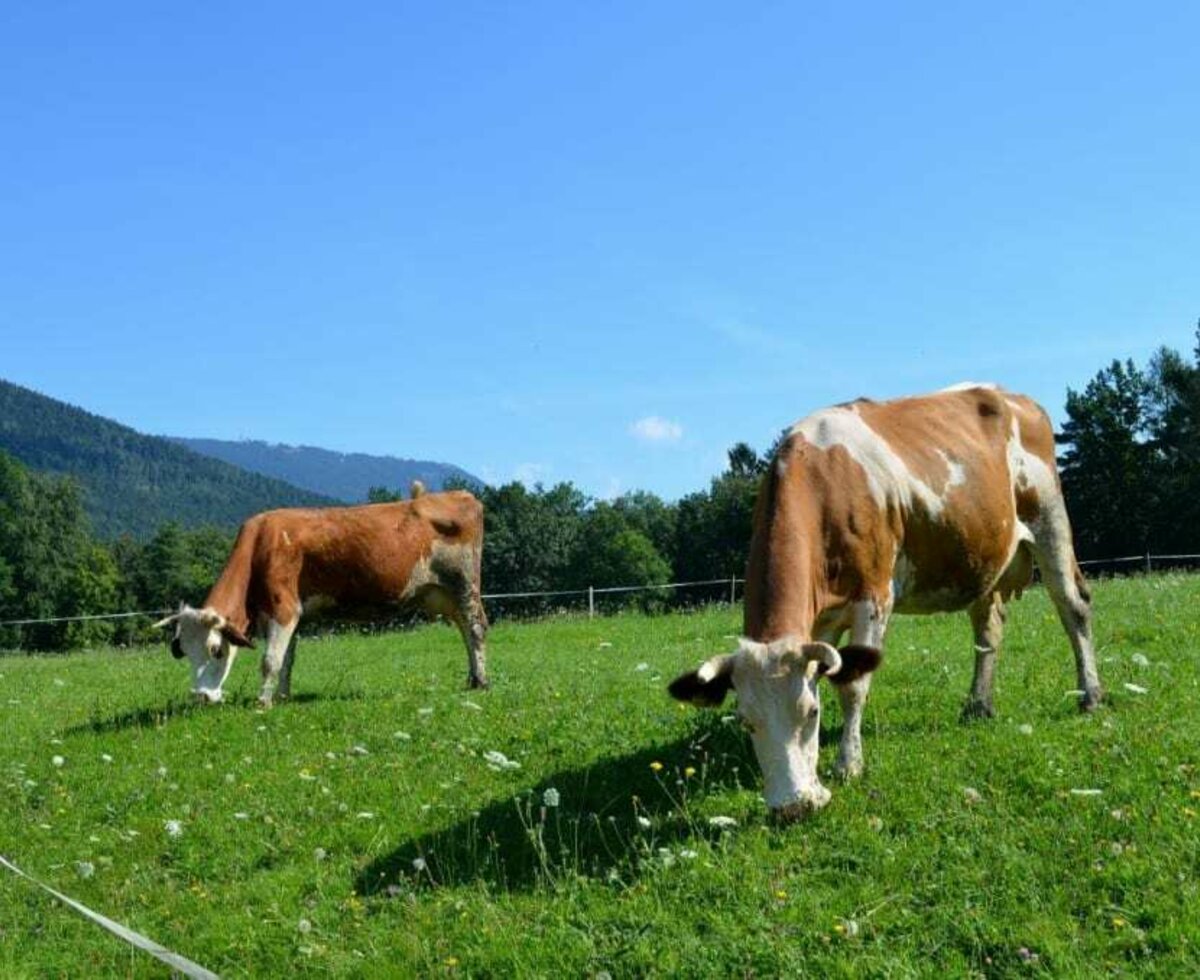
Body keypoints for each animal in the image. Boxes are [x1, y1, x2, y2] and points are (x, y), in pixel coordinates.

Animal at [154, 487, 487, 705]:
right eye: (182, 649)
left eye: (216, 650)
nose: (201, 697)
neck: (261, 544)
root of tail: (459, 494)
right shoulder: (284, 614)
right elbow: (287, 659)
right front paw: (282, 696)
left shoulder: (284, 608)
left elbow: (270, 660)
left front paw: (263, 702)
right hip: (444, 594)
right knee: (464, 630)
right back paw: (472, 677)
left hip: (464, 585)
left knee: (475, 628)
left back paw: (482, 681)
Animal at [672, 381, 1099, 820]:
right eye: (746, 721)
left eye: (810, 713)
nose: (794, 807)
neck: (824, 483)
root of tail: (1014, 396)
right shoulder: (819, 620)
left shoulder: (874, 597)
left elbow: (853, 685)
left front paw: (848, 764)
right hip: (981, 558)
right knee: (988, 629)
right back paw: (977, 705)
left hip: (1050, 521)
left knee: (1074, 608)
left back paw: (1090, 695)